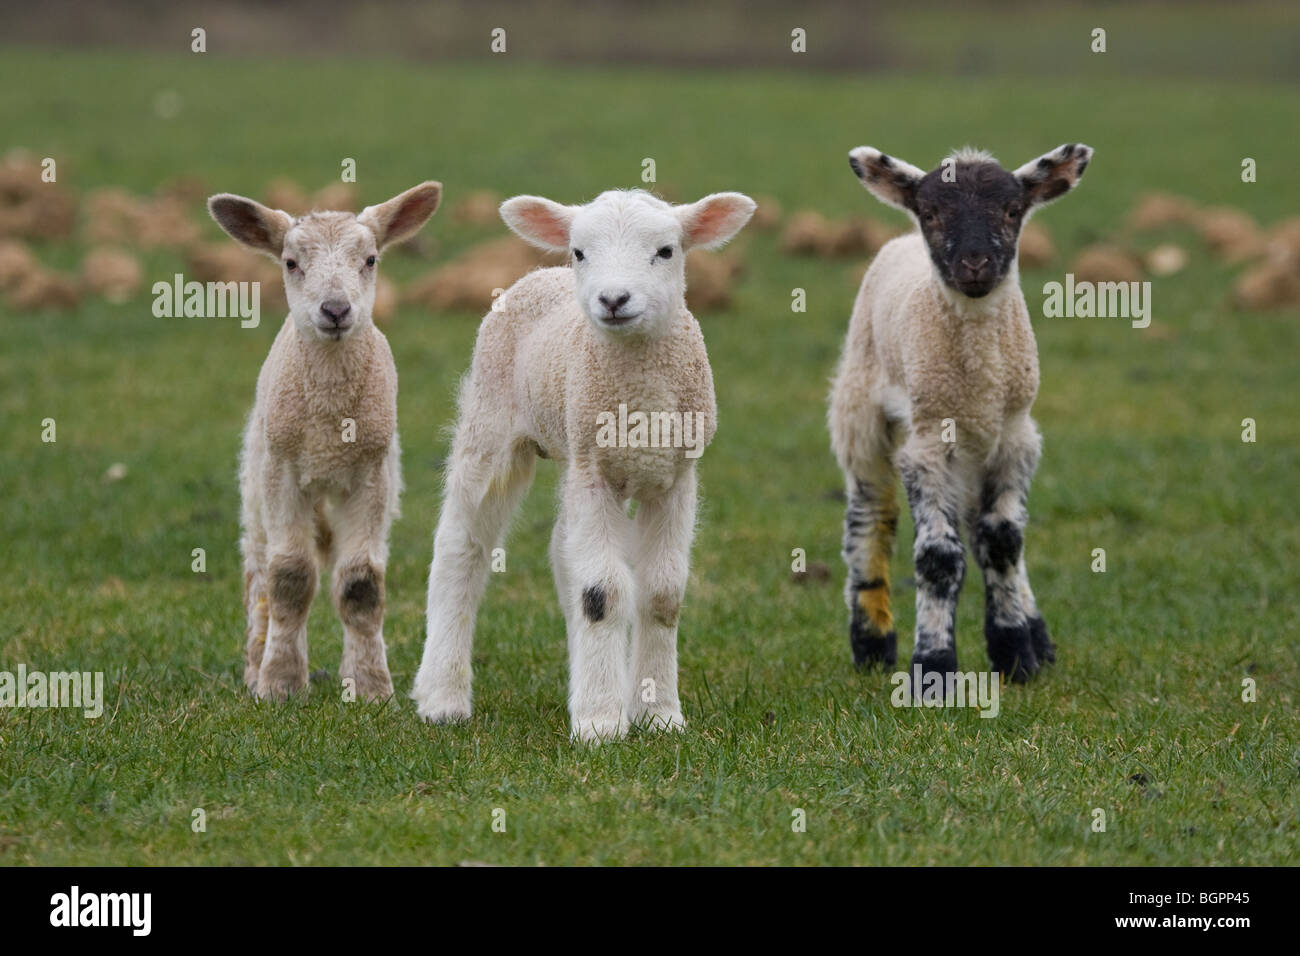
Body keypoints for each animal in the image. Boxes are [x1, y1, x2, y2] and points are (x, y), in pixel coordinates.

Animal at [207, 181, 442, 701]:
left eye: (370, 259)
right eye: (291, 263)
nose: (335, 310)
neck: (330, 428)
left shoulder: (372, 475)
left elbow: (360, 584)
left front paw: (371, 686)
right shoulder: (283, 472)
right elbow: (290, 578)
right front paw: (280, 684)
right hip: (256, 485)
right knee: (259, 575)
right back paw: (255, 663)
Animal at [411, 188, 755, 742]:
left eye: (666, 251)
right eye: (580, 252)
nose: (613, 300)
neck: (640, 398)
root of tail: (539, 273)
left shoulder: (674, 477)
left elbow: (662, 594)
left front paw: (659, 715)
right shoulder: (596, 473)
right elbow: (602, 595)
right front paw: (600, 724)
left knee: (561, 551)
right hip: (492, 421)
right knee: (461, 545)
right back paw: (442, 698)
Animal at [830, 143, 1092, 683]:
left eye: (1012, 211)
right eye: (931, 213)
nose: (975, 262)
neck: (980, 379)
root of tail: (900, 241)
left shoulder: (1015, 436)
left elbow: (1004, 541)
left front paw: (1015, 652)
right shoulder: (929, 443)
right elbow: (938, 558)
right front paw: (933, 667)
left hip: (979, 446)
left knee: (983, 525)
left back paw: (1036, 632)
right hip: (860, 407)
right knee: (870, 514)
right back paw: (872, 642)